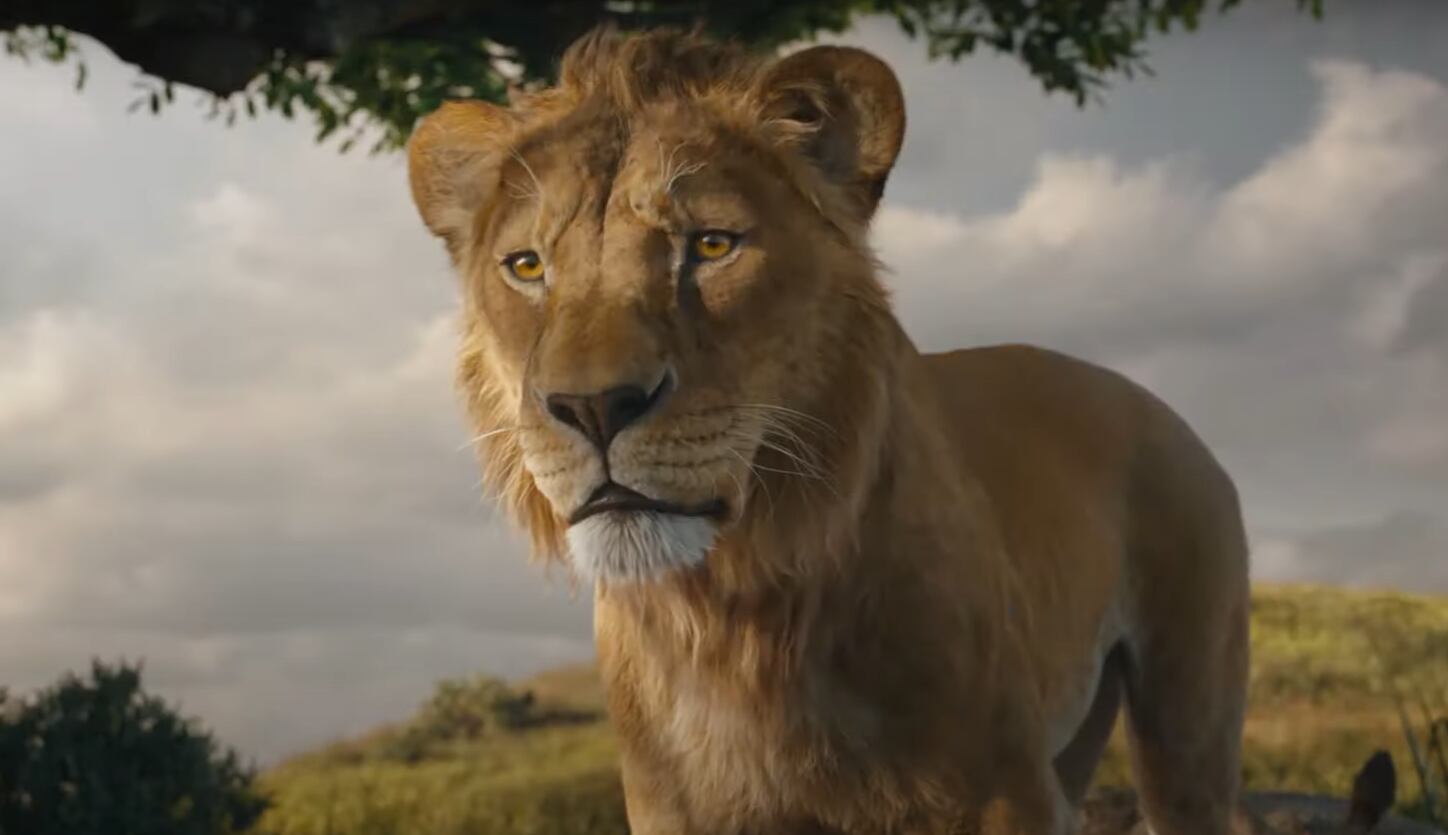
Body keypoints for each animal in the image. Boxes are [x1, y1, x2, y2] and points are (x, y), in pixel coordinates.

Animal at [406, 26, 1250, 835]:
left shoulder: (1004, 794)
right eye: (526, 266)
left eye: (711, 245)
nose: (592, 407)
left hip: (1187, 722)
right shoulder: (671, 809)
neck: (733, 621)